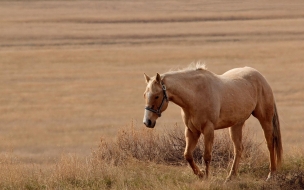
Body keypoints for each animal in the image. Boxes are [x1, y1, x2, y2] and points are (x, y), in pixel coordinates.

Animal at [142, 63, 282, 181]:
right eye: (144, 95)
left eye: (156, 95)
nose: (147, 122)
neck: (196, 94)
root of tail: (261, 77)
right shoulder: (192, 131)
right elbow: (188, 155)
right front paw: (201, 174)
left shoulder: (208, 129)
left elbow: (207, 156)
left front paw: (207, 177)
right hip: (236, 125)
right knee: (238, 149)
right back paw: (231, 176)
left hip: (265, 119)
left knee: (270, 144)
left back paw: (271, 174)